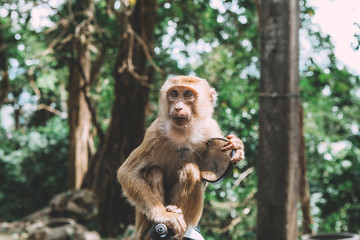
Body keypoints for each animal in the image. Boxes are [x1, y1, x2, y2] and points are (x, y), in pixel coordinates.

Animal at [118, 75, 245, 238]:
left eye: (187, 95)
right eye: (174, 94)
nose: (178, 107)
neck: (182, 133)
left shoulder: (211, 128)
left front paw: (237, 146)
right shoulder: (154, 133)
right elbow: (127, 172)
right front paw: (165, 216)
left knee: (190, 170)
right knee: (154, 172)